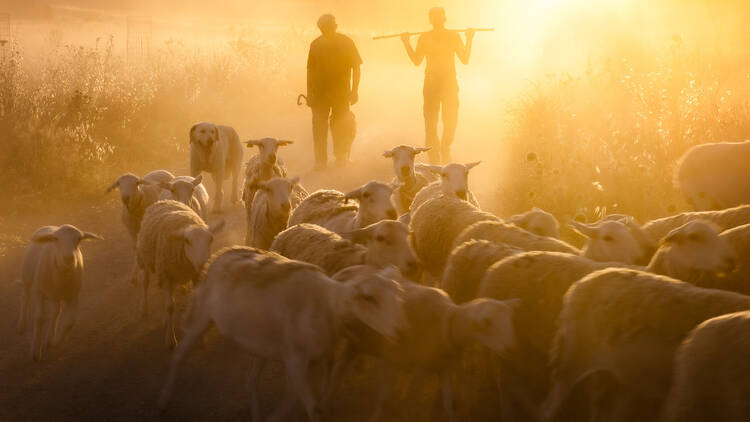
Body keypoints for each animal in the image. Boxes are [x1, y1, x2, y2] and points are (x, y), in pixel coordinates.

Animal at [16, 224, 103, 360]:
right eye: (56, 239)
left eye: (79, 239)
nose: (68, 258)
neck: (63, 276)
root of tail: (49, 226)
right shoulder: (39, 292)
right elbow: (39, 318)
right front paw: (35, 351)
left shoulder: (73, 296)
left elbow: (70, 322)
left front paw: (55, 342)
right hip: (27, 276)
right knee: (25, 297)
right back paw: (21, 325)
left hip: (55, 296)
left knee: (55, 312)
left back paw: (49, 337)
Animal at [136, 199, 225, 344]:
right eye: (187, 241)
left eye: (211, 239)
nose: (204, 263)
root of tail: (164, 201)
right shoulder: (166, 274)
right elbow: (170, 307)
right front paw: (170, 339)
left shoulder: (194, 276)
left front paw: (199, 338)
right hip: (144, 259)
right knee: (145, 282)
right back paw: (143, 308)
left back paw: (164, 318)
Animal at [155, 246, 408, 420]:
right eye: (369, 298)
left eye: (398, 294)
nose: (401, 332)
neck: (327, 304)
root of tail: (222, 253)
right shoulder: (296, 361)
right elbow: (313, 408)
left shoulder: (317, 359)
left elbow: (305, 400)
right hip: (202, 315)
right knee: (179, 355)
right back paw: (164, 399)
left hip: (259, 342)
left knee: (250, 381)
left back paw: (256, 415)